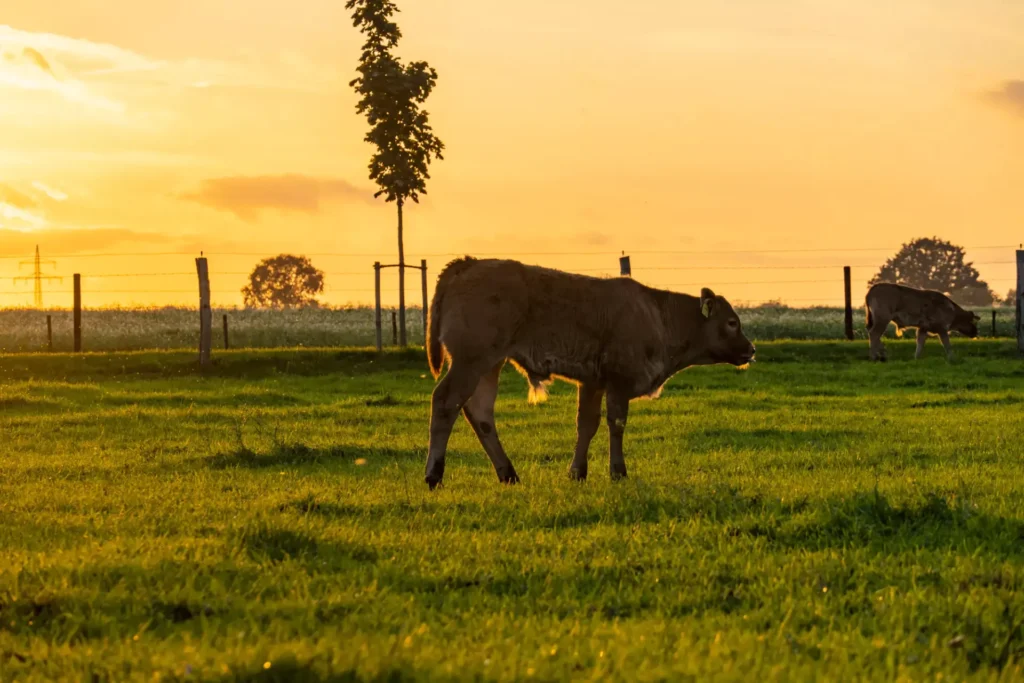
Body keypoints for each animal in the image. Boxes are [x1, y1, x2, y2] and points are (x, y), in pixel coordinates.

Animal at [423, 257, 756, 489]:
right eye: (731, 323)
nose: (751, 349)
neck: (657, 314)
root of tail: (468, 263)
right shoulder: (619, 382)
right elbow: (616, 424)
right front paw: (618, 472)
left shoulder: (592, 382)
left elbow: (586, 425)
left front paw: (576, 472)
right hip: (471, 361)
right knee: (445, 402)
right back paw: (433, 475)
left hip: (489, 365)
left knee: (480, 413)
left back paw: (508, 474)